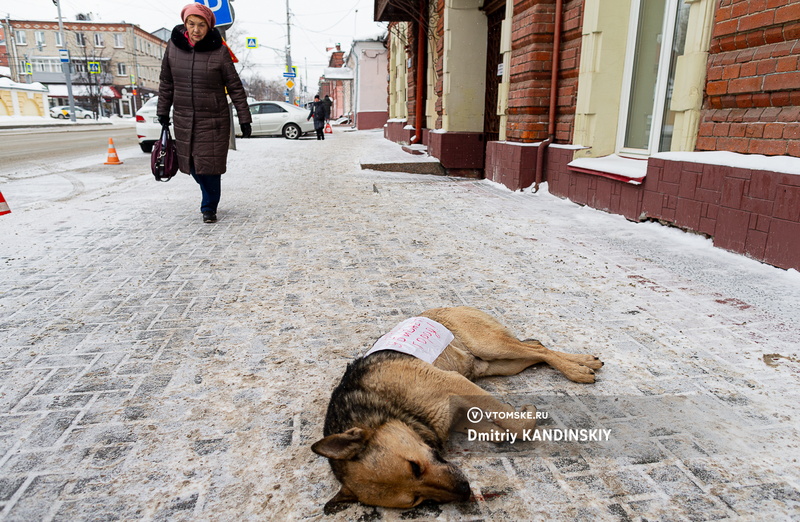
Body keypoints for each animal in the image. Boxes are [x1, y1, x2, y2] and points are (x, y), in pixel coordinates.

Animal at [310, 306, 604, 510]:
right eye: (418, 501)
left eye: (414, 467)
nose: (464, 491)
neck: (390, 408)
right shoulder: (455, 409)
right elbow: (496, 428)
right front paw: (500, 426)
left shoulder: (455, 383)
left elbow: (518, 424)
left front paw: (525, 414)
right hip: (500, 364)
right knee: (536, 349)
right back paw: (581, 362)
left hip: (491, 346)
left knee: (538, 349)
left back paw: (578, 368)